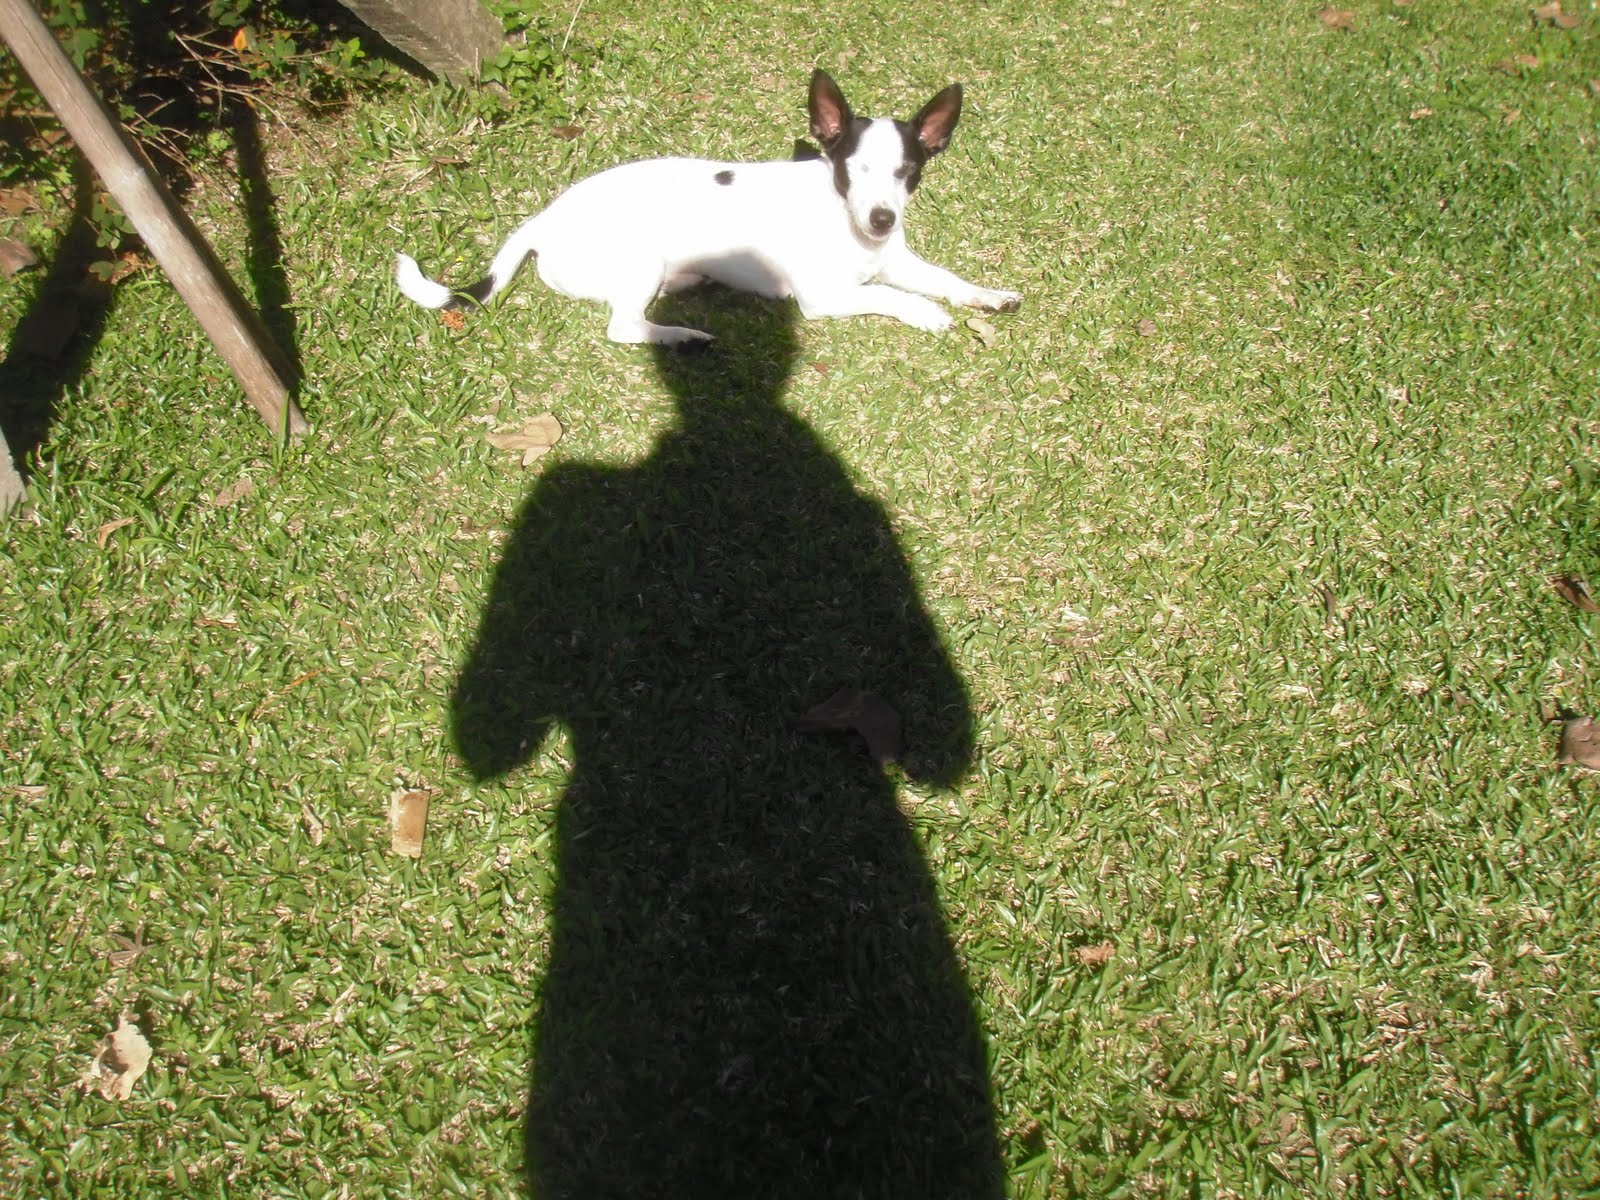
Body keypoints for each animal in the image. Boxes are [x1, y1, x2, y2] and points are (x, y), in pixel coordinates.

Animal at [395, 70, 1021, 346]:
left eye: (907, 173)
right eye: (852, 170)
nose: (883, 219)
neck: (847, 223)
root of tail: (542, 221)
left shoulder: (896, 261)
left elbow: (946, 279)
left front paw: (986, 296)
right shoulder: (824, 296)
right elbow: (889, 297)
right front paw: (926, 313)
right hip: (640, 259)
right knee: (623, 326)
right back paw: (679, 335)